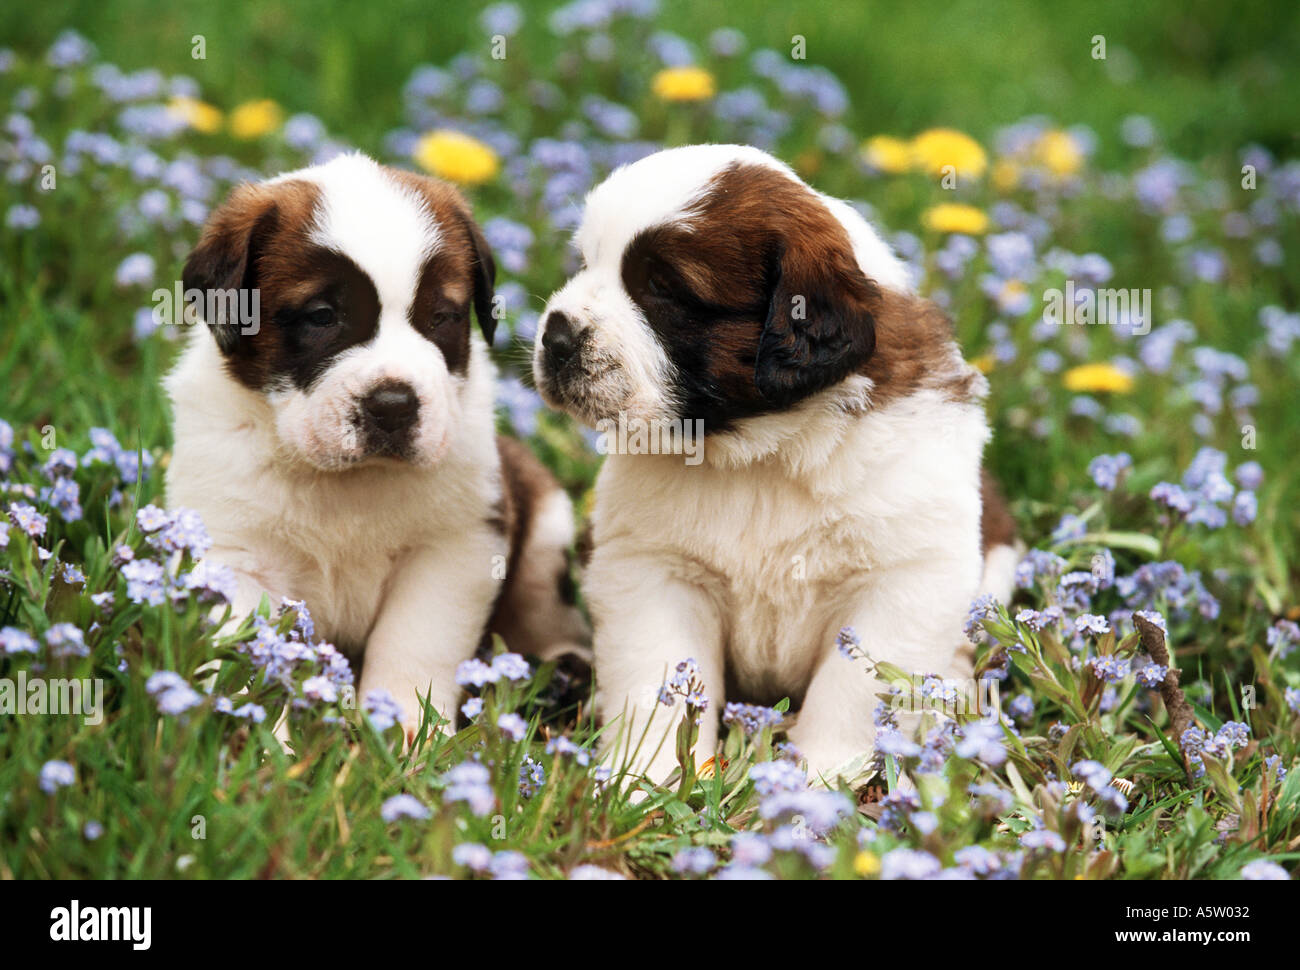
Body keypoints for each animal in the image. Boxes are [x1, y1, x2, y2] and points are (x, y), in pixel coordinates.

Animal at [166, 149, 590, 733]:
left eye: (441, 317)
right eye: (322, 317)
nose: (393, 404)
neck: (345, 480)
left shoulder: (453, 549)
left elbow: (414, 644)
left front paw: (405, 730)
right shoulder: (233, 555)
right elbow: (253, 658)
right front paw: (262, 734)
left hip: (544, 538)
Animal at [533, 141, 1019, 780]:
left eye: (661, 286)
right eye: (586, 262)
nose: (555, 337)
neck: (764, 447)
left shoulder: (904, 580)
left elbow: (851, 690)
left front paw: (816, 778)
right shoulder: (653, 569)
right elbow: (656, 677)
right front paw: (646, 778)